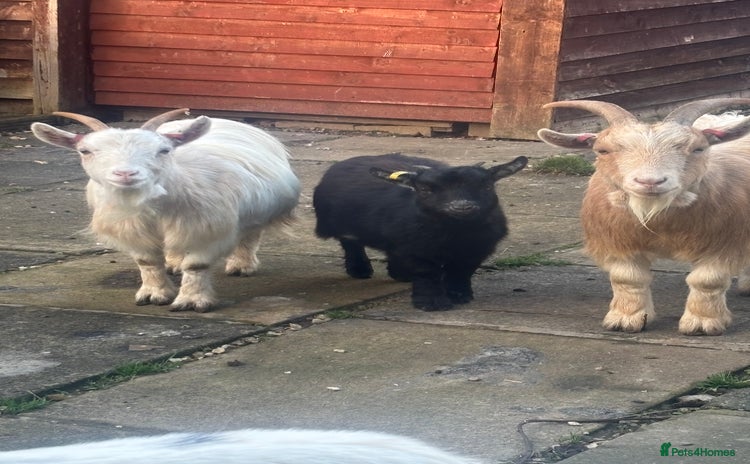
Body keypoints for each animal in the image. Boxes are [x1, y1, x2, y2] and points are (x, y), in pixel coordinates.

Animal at [31, 109, 300, 312]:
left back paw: (241, 265)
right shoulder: (134, 231)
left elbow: (196, 266)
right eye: (85, 151)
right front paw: (154, 294)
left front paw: (192, 301)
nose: (126, 174)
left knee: (249, 234)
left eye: (164, 150)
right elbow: (147, 261)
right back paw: (173, 263)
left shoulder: (205, 229)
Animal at [313, 153, 527, 311]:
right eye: (424, 189)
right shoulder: (416, 249)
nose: (461, 206)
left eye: (487, 186)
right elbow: (427, 274)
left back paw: (400, 273)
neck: (456, 233)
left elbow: (461, 271)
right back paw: (360, 269)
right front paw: (432, 303)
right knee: (351, 242)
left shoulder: (477, 248)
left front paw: (460, 295)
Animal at [538, 98, 750, 335]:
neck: (658, 220)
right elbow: (628, 279)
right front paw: (626, 319)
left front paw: (702, 322)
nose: (650, 181)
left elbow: (707, 281)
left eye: (698, 149)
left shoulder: (722, 243)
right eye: (602, 150)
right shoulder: (619, 243)